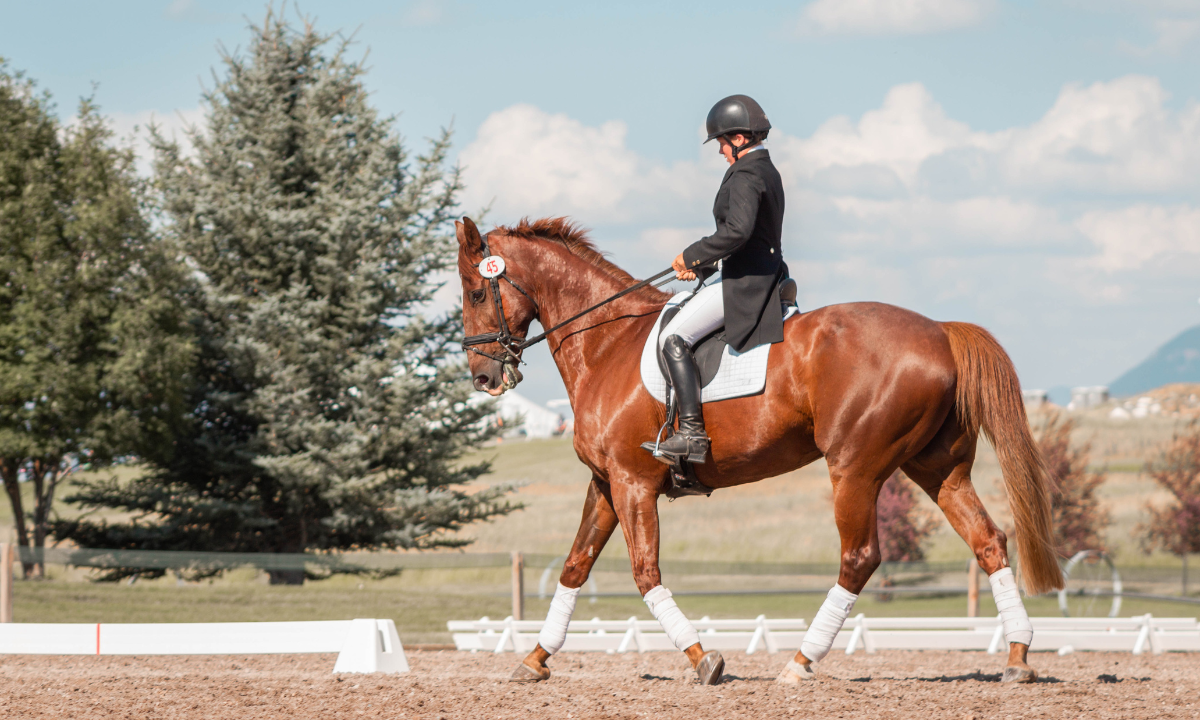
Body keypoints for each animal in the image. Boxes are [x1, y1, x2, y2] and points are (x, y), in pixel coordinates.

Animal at [455, 215, 1063, 686]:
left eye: (477, 291)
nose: (483, 377)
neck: (607, 343)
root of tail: (939, 331)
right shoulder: (606, 483)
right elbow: (576, 565)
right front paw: (535, 660)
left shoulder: (633, 482)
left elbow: (645, 572)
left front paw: (703, 659)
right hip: (938, 469)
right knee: (988, 541)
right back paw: (1017, 657)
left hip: (855, 469)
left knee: (859, 558)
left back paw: (800, 662)